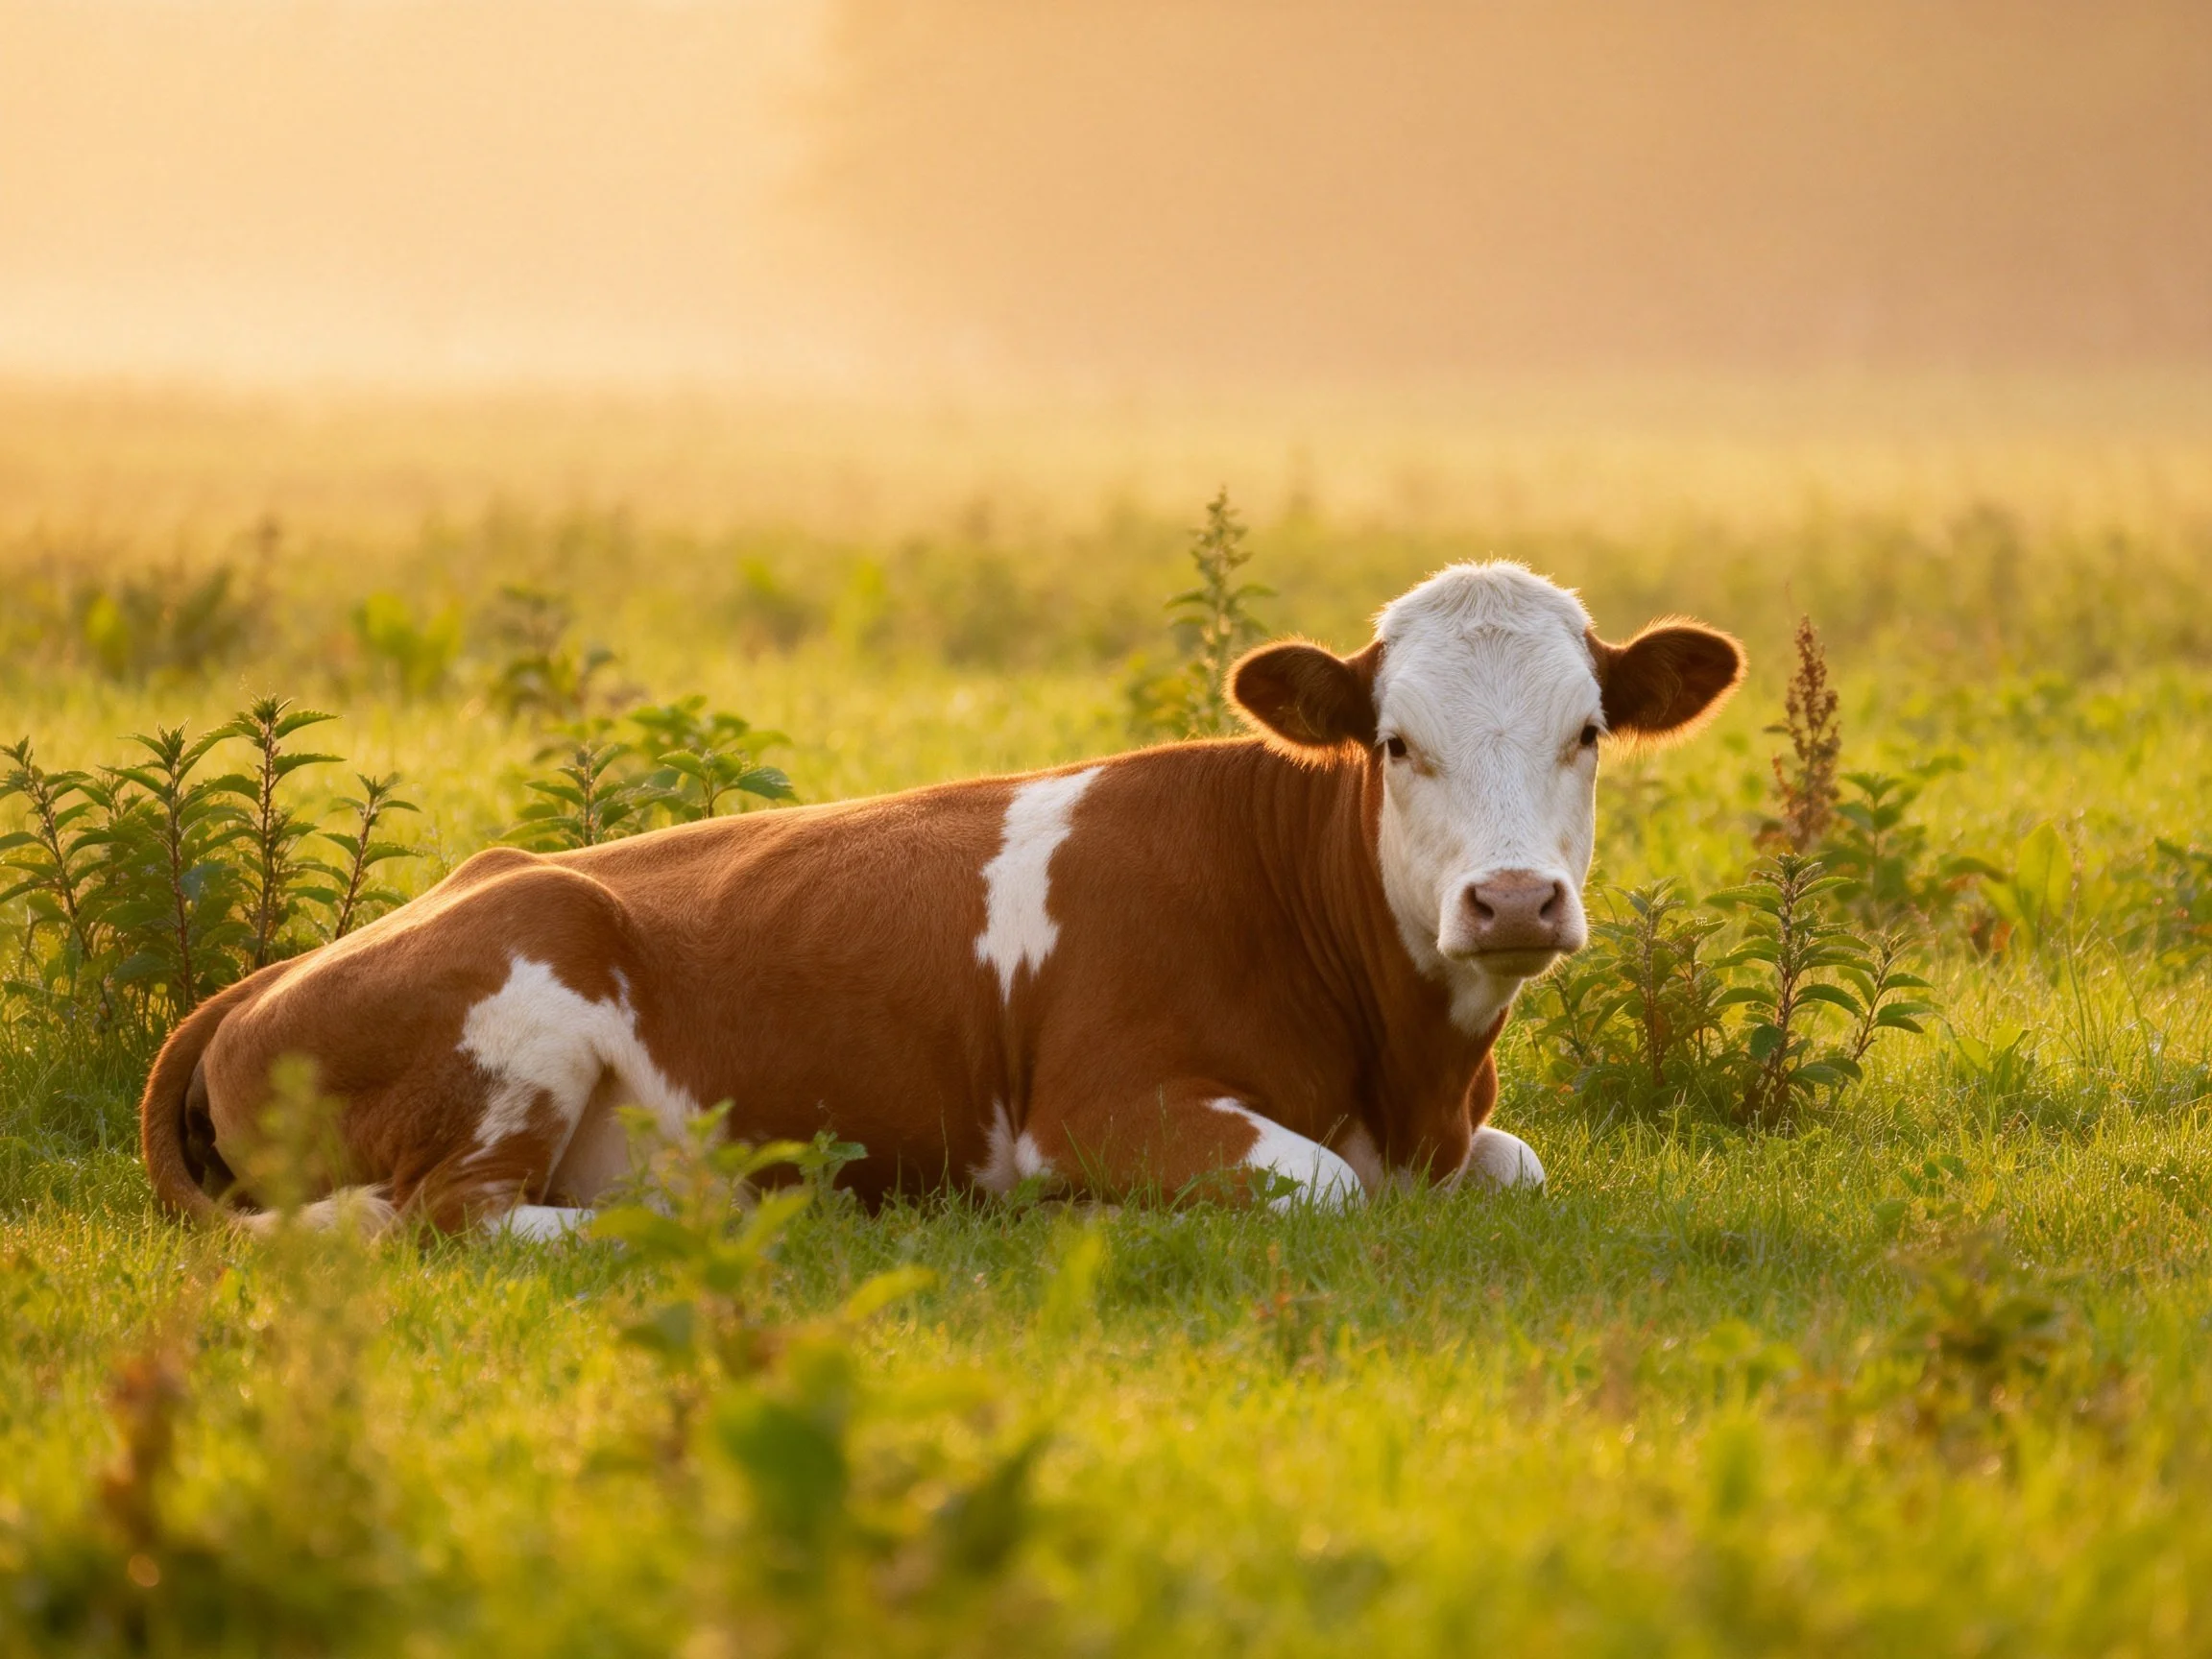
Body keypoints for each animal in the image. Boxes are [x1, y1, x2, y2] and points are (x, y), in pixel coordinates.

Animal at [138, 561, 1742, 1236]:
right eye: (1396, 743)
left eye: (1587, 732)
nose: (1515, 901)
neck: (1405, 1076)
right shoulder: (1103, 1106)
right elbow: (1325, 1189)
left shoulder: (1458, 1138)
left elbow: (1520, 1166)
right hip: (526, 997)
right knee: (451, 1220)